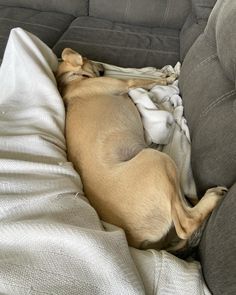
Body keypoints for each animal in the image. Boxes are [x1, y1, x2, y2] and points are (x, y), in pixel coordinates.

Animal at [55, 48, 227, 252]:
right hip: (157, 159)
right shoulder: (126, 83)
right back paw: (212, 197)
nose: (103, 67)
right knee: (185, 223)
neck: (72, 81)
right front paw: (169, 77)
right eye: (88, 58)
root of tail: (139, 243)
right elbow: (145, 79)